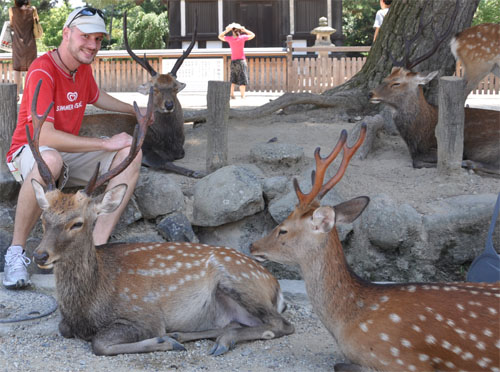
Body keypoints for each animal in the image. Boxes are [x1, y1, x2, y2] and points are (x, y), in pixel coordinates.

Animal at [27, 80, 292, 354]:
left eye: (77, 223)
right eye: (44, 218)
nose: (40, 255)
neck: (88, 308)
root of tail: (276, 287)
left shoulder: (145, 313)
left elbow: (100, 343)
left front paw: (163, 340)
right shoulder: (68, 324)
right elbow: (63, 328)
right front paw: (170, 339)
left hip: (239, 279)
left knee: (281, 324)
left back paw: (213, 340)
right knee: (236, 323)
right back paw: (188, 335)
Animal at [368, 1, 500, 176]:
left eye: (396, 83)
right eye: (385, 78)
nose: (371, 93)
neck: (417, 136)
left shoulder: (438, 148)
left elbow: (417, 161)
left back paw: (470, 164)